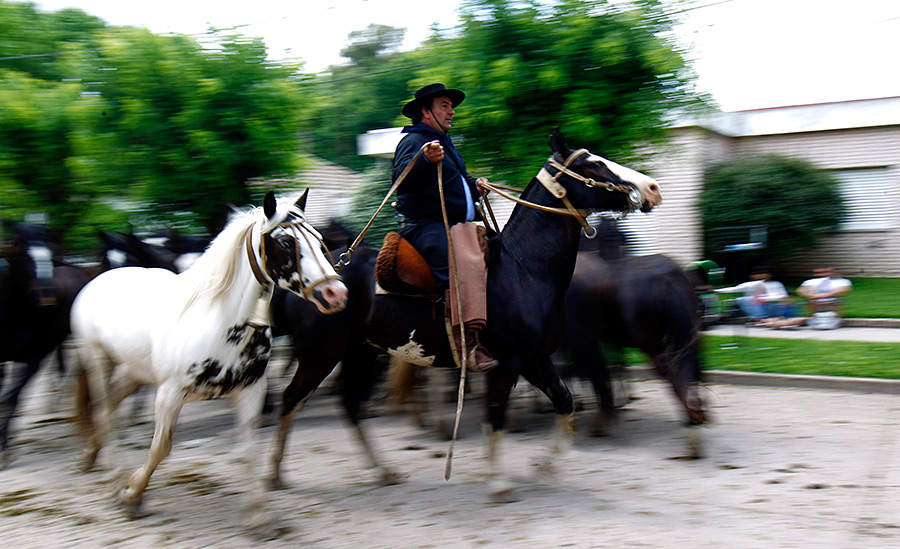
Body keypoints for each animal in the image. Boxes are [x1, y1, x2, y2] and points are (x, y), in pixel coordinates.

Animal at [71, 192, 348, 532]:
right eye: (285, 242)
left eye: (319, 239)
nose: (336, 293)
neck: (216, 320)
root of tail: (96, 280)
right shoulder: (170, 394)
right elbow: (161, 448)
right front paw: (133, 495)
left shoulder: (250, 391)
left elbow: (248, 450)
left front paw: (257, 516)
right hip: (98, 360)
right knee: (102, 412)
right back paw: (112, 480)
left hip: (133, 372)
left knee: (108, 407)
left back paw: (95, 459)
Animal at [268, 130, 660, 500]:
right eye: (593, 164)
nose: (651, 188)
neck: (524, 268)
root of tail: (313, 278)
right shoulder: (506, 364)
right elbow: (495, 417)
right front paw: (499, 483)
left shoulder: (536, 360)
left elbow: (564, 403)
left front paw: (545, 467)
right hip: (320, 355)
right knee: (291, 399)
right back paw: (275, 475)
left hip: (360, 353)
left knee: (350, 404)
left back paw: (384, 470)